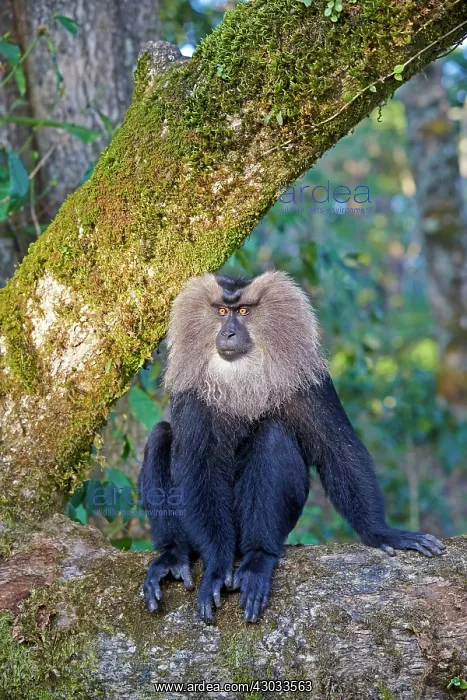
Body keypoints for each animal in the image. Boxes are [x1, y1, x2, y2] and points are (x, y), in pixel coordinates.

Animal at [138, 270, 445, 624]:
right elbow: (197, 466)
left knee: (274, 435)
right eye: (221, 311)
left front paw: (381, 532)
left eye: (244, 312)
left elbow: (337, 449)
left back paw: (258, 559)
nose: (228, 333)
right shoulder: (191, 393)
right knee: (161, 435)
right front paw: (216, 566)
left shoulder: (307, 379)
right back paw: (174, 553)